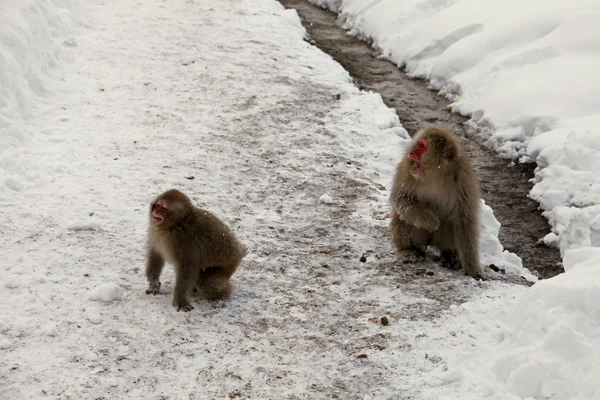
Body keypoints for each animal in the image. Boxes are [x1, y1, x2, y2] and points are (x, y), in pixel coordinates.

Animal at [390, 127, 482, 278]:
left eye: (422, 146)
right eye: (418, 143)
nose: (412, 152)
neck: (436, 173)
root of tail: (431, 242)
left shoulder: (463, 179)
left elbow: (465, 221)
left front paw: (473, 269)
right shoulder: (407, 169)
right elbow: (400, 198)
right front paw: (431, 221)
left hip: (443, 238)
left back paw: (450, 255)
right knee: (405, 218)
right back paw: (409, 249)